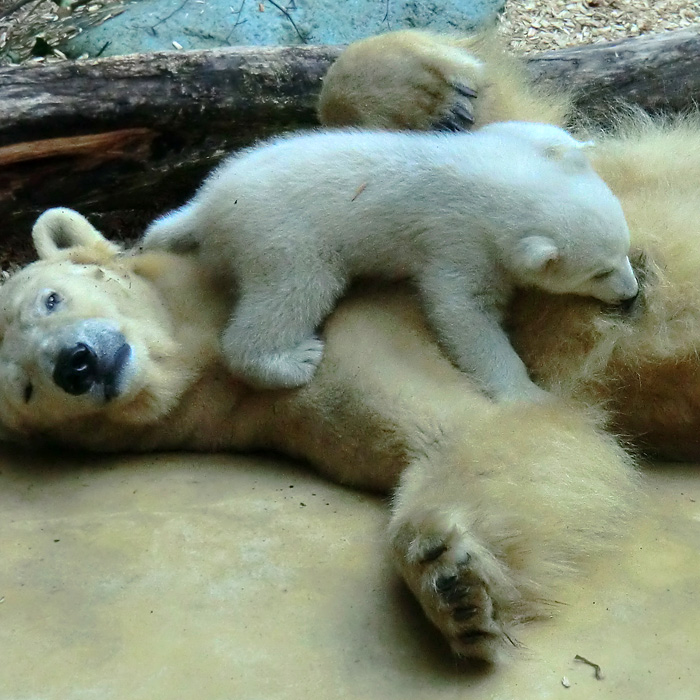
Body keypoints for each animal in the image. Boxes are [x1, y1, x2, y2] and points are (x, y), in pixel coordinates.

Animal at [0, 27, 696, 660]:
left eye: (53, 298)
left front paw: (449, 92)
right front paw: (519, 391)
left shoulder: (505, 149)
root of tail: (211, 209)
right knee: (285, 301)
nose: (630, 289)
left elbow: (517, 117)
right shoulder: (452, 244)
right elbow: (464, 324)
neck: (488, 186)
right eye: (25, 389)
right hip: (294, 245)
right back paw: (288, 357)